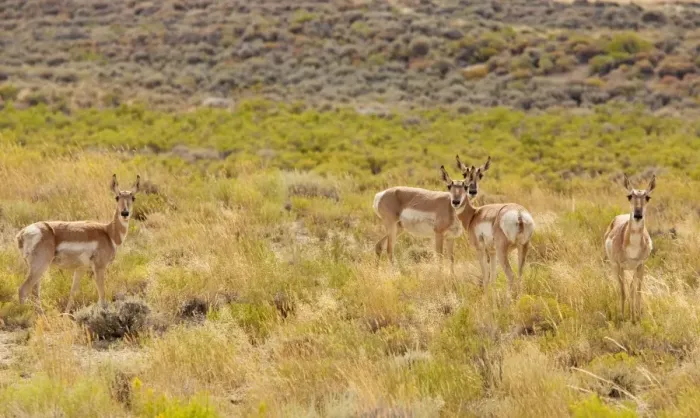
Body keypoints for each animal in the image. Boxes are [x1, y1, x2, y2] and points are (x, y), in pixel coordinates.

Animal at [15, 174, 140, 313]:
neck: (108, 233)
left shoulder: (80, 269)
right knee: (23, 290)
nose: (125, 213)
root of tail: (23, 233)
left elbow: (73, 292)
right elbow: (102, 295)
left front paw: (66, 315)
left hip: (37, 269)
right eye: (117, 197)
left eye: (133, 198)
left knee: (35, 291)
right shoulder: (99, 268)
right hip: (40, 266)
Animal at [452, 156, 535, 298]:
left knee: (511, 276)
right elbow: (493, 278)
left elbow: (485, 277)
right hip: (523, 247)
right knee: (520, 275)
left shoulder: (480, 250)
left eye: (480, 175)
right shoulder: (492, 252)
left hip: (503, 252)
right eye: (464, 174)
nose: (472, 191)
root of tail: (519, 213)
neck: (475, 214)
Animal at [604, 173, 656, 321]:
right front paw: (622, 317)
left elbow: (636, 291)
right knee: (619, 287)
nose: (638, 215)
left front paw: (636, 318)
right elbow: (623, 291)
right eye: (629, 196)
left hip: (631, 269)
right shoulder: (620, 265)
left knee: (631, 288)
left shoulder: (640, 265)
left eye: (647, 197)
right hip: (614, 266)